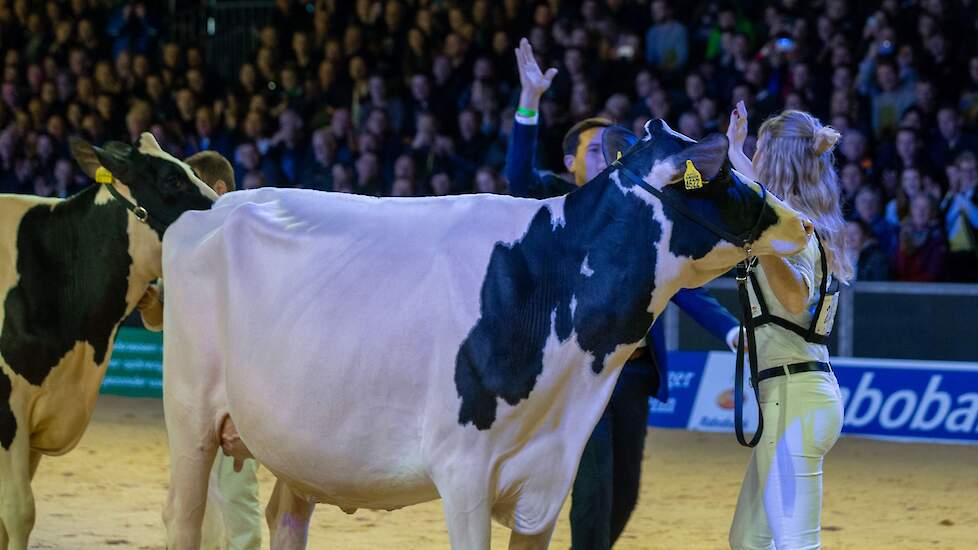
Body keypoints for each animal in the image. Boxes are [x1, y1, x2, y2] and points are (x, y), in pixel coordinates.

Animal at [162, 122, 816, 550]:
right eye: (723, 173)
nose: (806, 224)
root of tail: (213, 208)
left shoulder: (548, 478)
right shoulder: (464, 473)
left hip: (301, 443)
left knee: (287, 517)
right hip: (190, 419)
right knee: (183, 520)